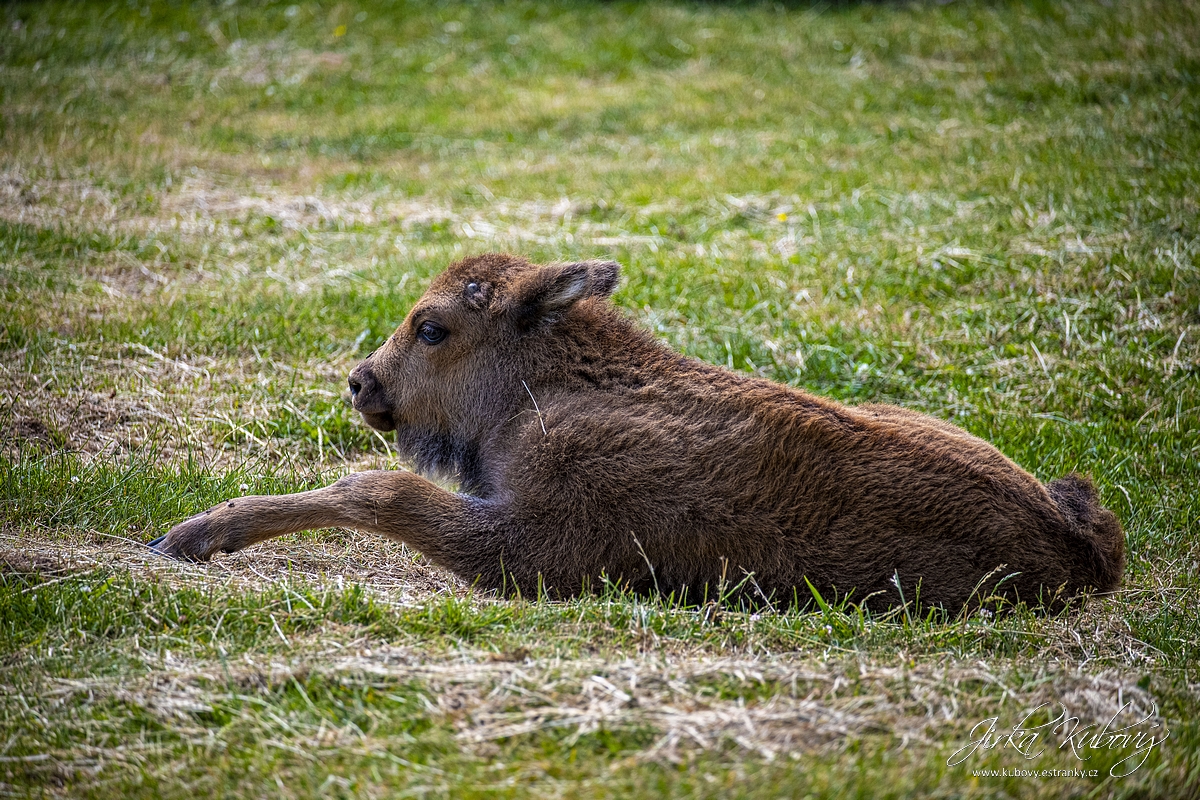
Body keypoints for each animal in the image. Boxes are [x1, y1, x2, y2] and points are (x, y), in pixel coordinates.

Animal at [150, 253, 1123, 609]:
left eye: (432, 328)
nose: (362, 382)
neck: (548, 382)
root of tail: (1077, 544)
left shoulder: (533, 549)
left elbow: (380, 490)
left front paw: (196, 533)